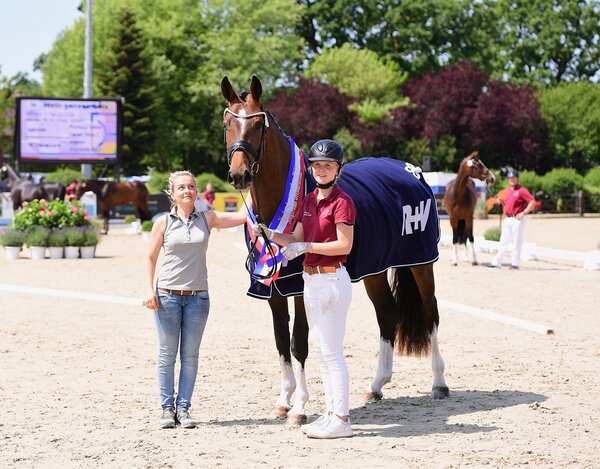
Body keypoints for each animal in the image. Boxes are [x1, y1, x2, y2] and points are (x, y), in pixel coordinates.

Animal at [221, 75, 449, 426]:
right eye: (227, 124)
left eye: (258, 126)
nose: (238, 175)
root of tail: (412, 172)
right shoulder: (273, 289)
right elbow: (280, 341)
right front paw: (283, 401)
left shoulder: (298, 286)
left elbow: (298, 342)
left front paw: (299, 408)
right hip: (374, 269)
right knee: (387, 313)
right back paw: (376, 386)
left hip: (421, 262)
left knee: (430, 312)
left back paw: (439, 383)